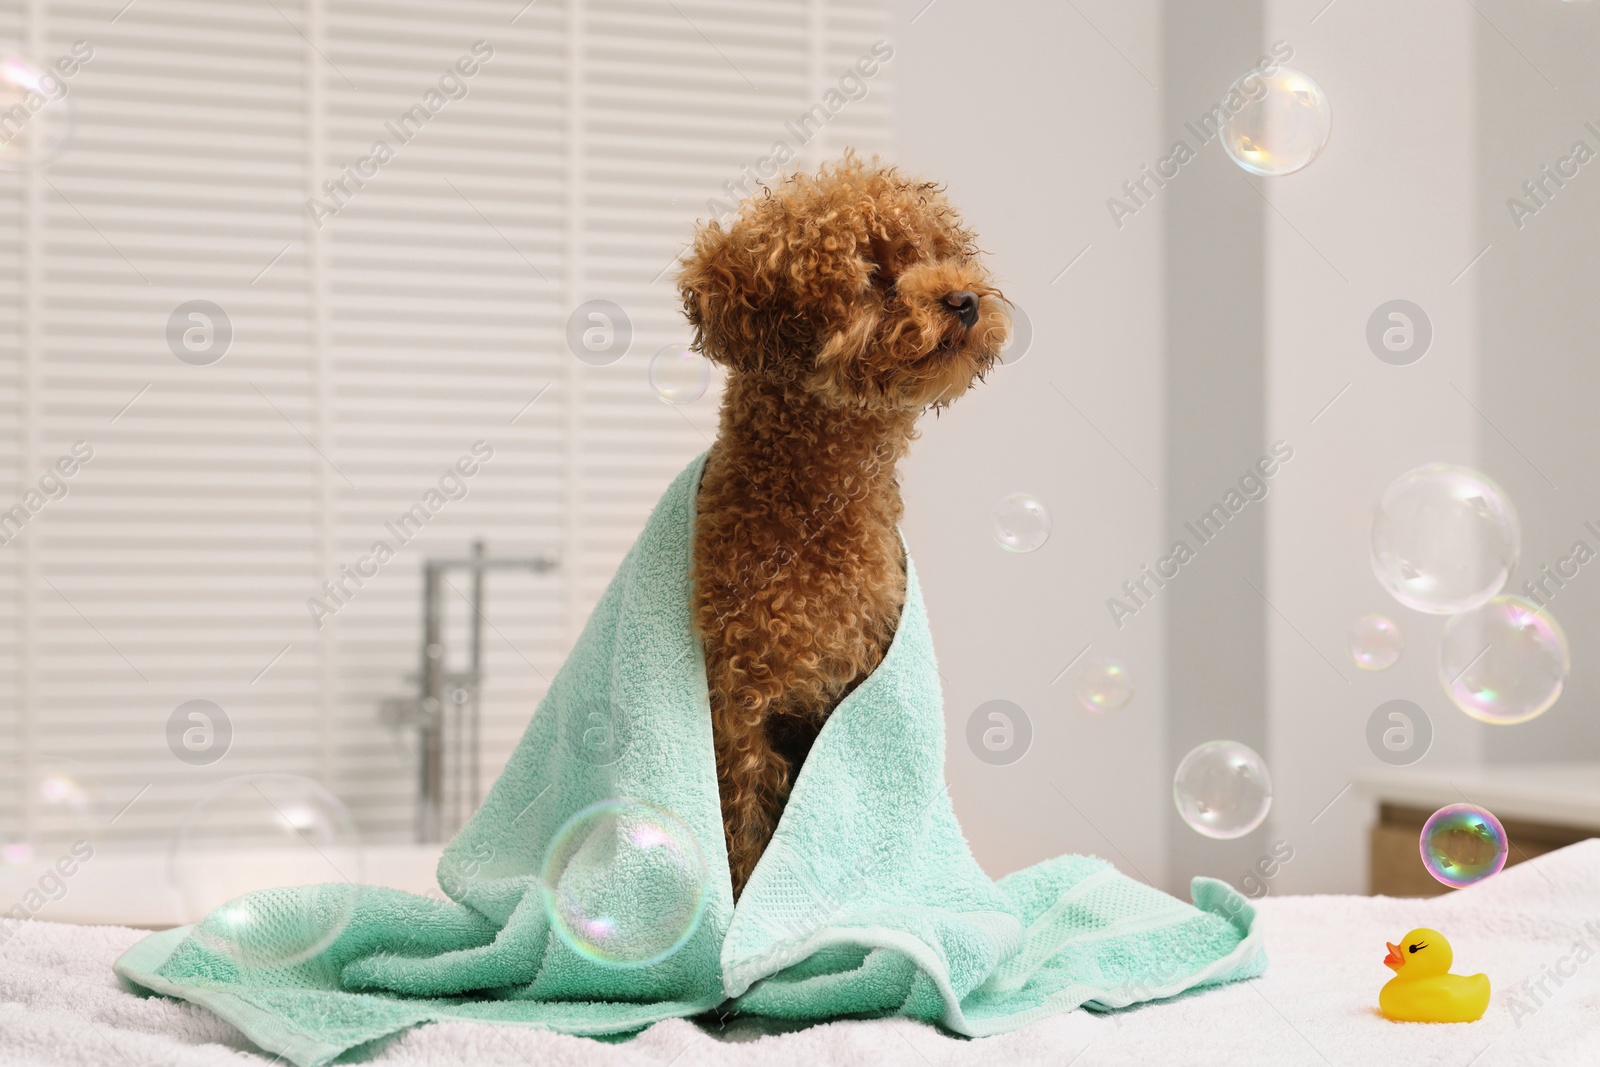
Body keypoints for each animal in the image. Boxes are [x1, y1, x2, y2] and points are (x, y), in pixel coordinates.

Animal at [678, 154, 1011, 895]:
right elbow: (739, 835)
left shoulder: (852, 687)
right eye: (875, 277)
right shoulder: (738, 707)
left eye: (940, 255)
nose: (964, 298)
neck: (816, 519)